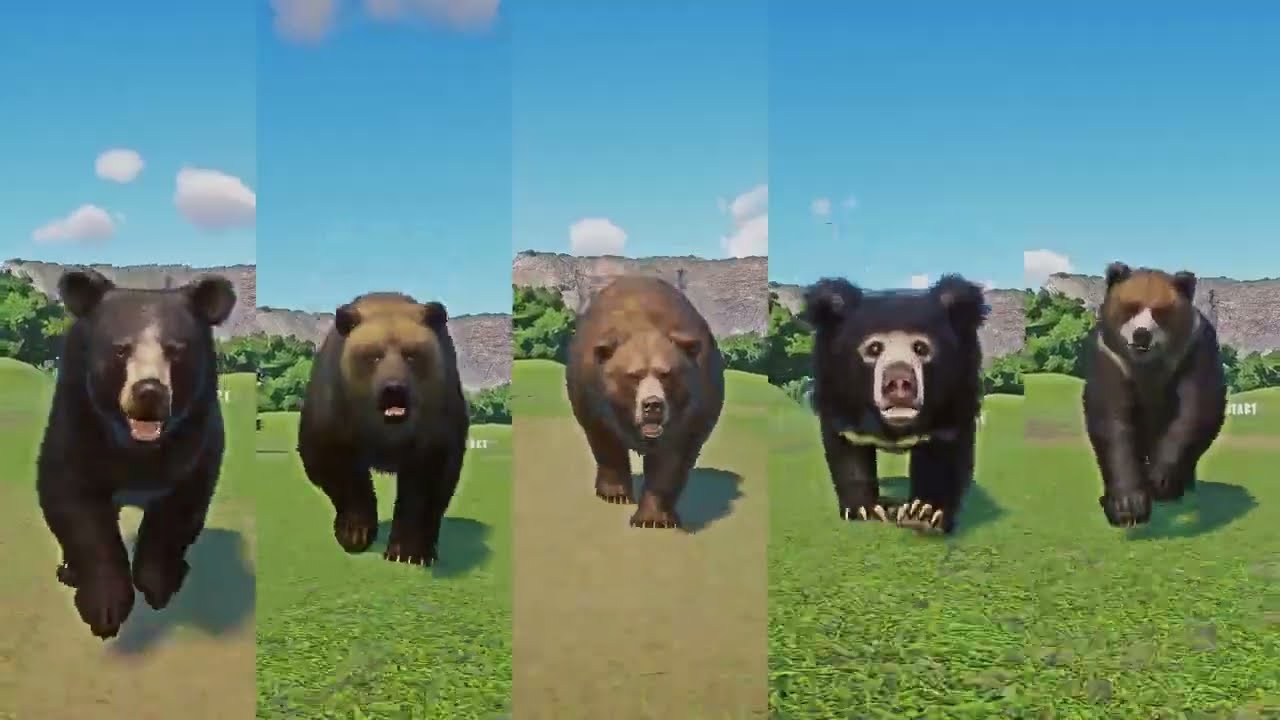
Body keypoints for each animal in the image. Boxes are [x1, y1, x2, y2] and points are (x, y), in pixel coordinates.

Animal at [36, 268, 237, 639]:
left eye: (175, 350)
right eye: (120, 349)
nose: (149, 392)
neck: (137, 446)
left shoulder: (198, 438)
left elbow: (180, 508)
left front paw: (157, 585)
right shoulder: (75, 420)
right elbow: (72, 502)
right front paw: (104, 610)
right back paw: (69, 572)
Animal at [297, 292, 468, 565]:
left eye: (411, 354)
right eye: (373, 355)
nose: (393, 388)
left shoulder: (436, 420)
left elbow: (428, 479)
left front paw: (409, 550)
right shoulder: (334, 414)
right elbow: (336, 469)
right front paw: (354, 532)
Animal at [565, 275, 725, 529]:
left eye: (666, 374)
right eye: (633, 375)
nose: (652, 404)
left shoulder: (693, 410)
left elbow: (672, 459)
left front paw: (653, 518)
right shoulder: (591, 395)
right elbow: (605, 440)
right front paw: (615, 494)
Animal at [802, 274, 988, 534]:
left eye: (921, 347)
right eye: (873, 348)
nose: (899, 381)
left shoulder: (956, 397)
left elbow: (946, 456)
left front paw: (924, 513)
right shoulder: (837, 395)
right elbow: (848, 452)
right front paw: (865, 511)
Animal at [1083, 262, 1227, 527]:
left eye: (1161, 311)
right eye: (1131, 306)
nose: (1142, 334)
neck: (1146, 366)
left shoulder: (1194, 349)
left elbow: (1195, 410)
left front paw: (1160, 480)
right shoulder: (1111, 356)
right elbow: (1112, 421)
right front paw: (1127, 506)